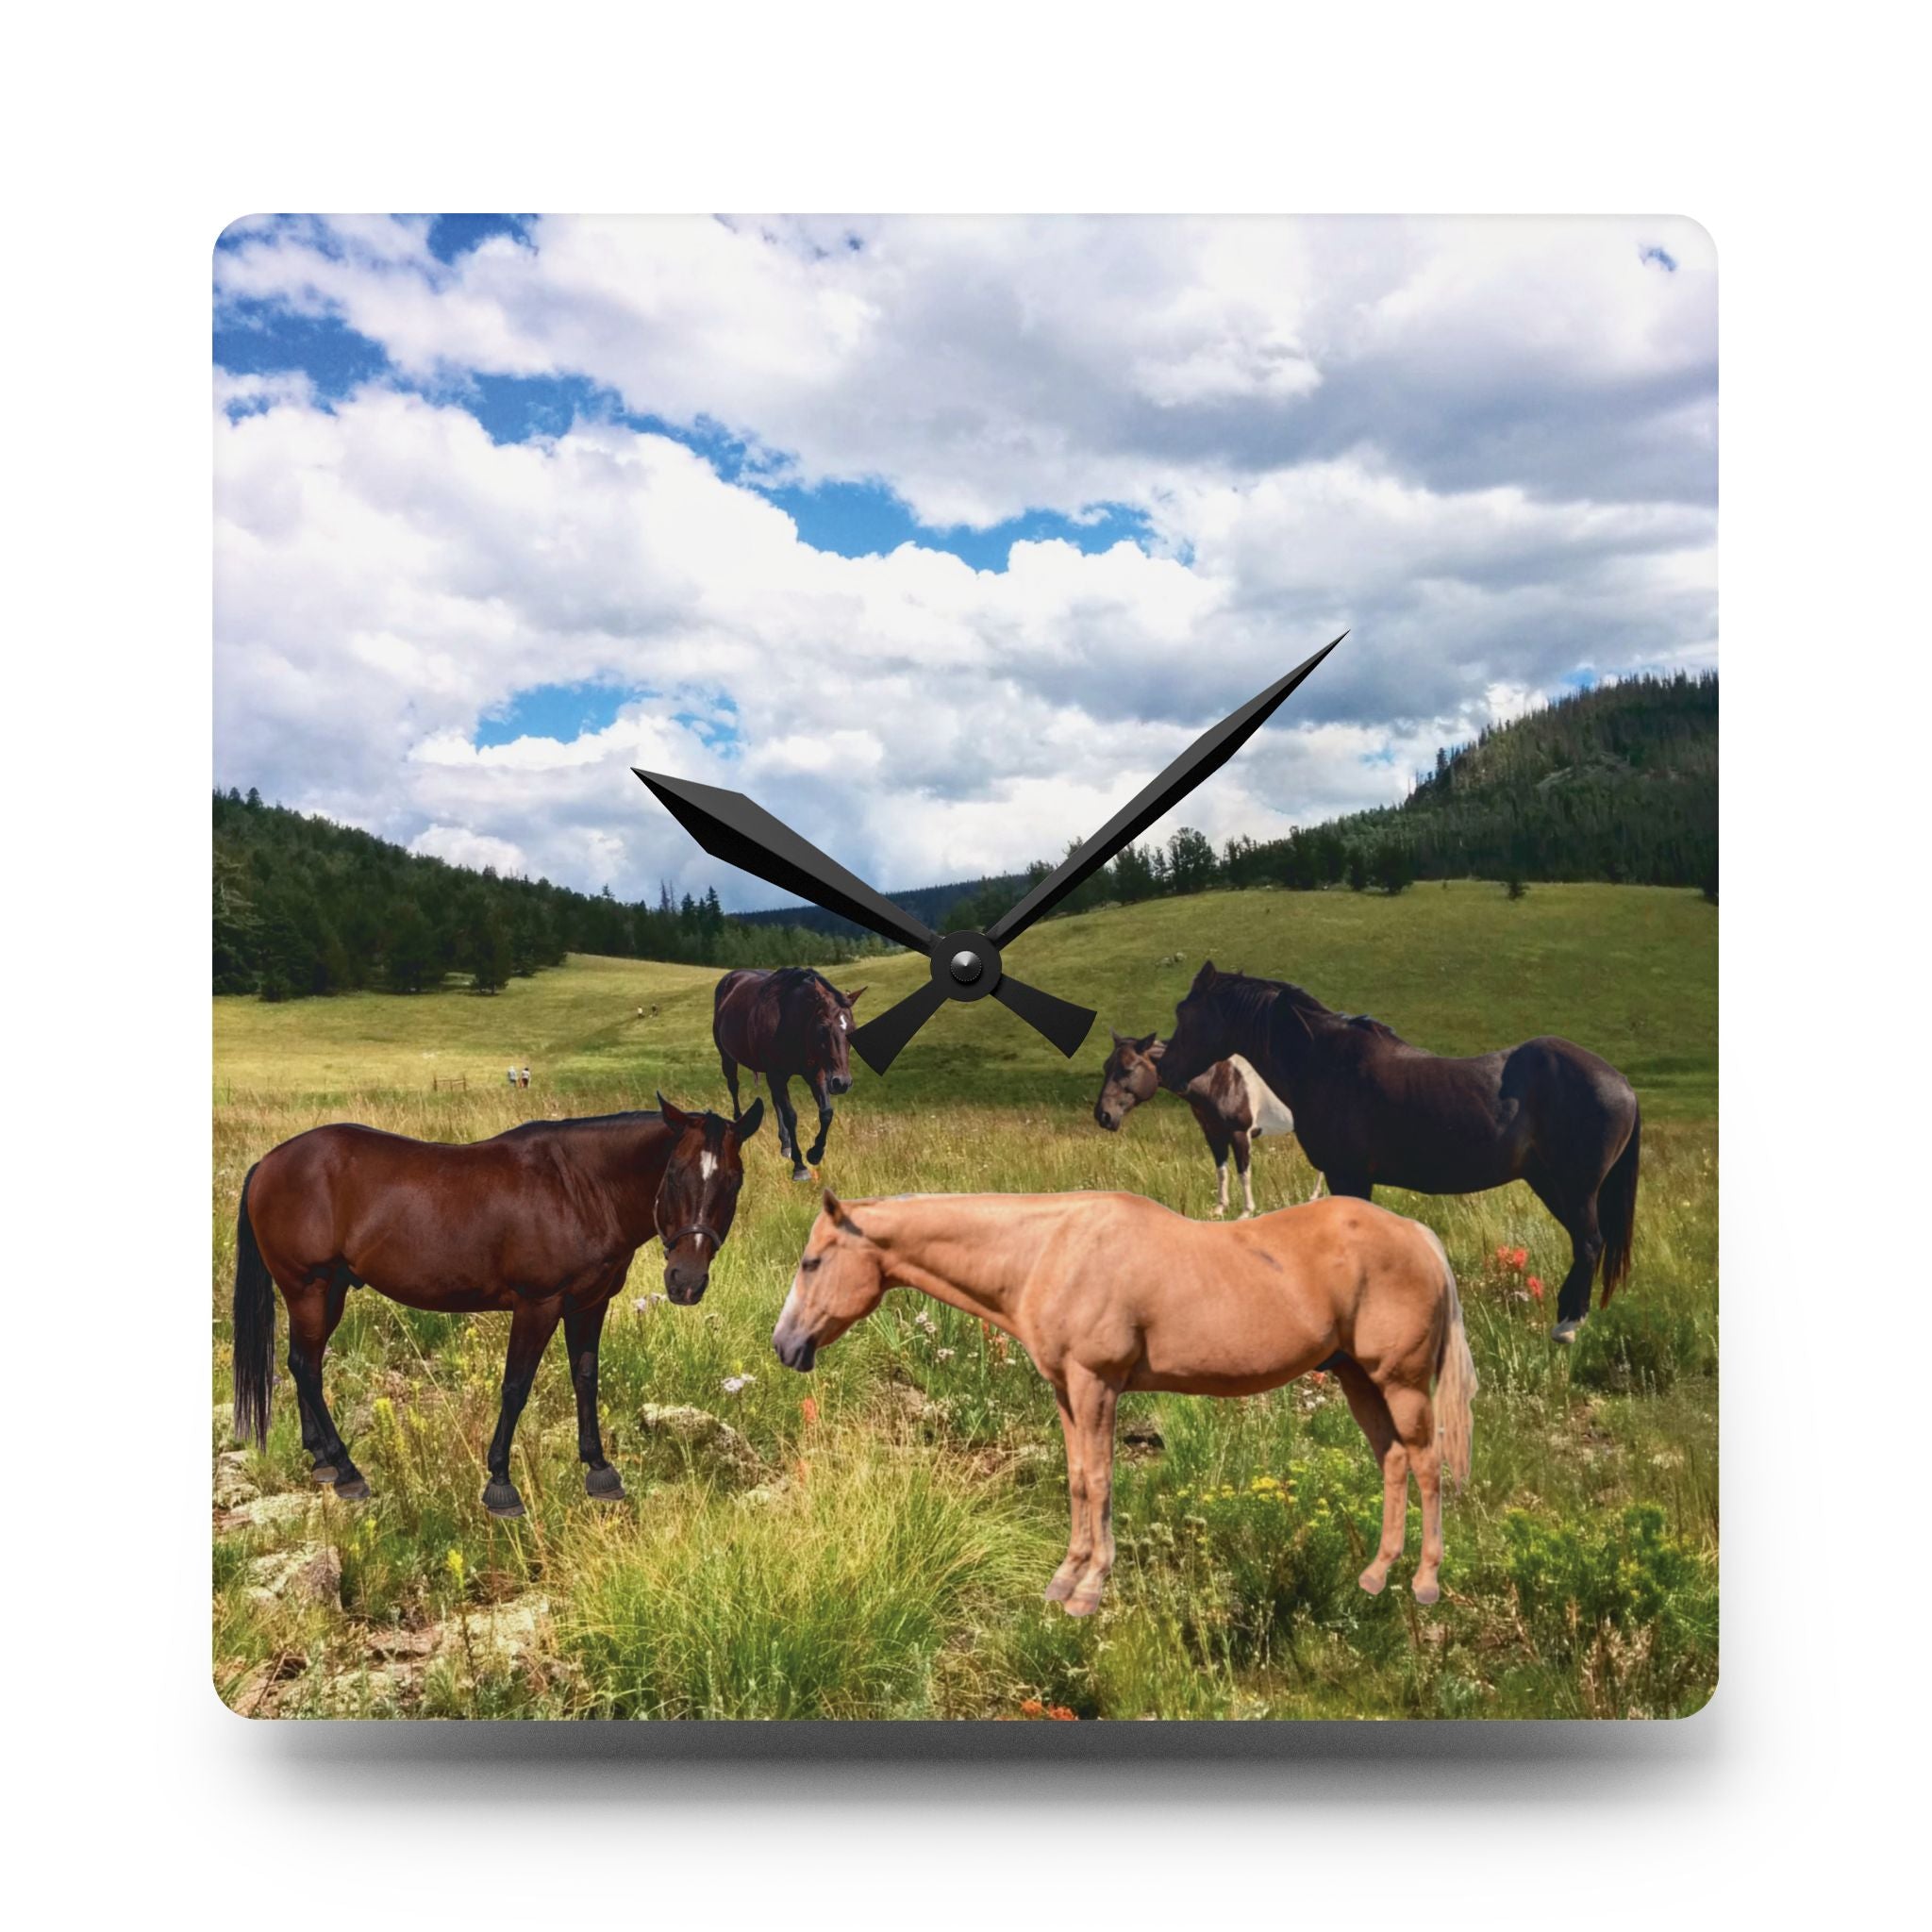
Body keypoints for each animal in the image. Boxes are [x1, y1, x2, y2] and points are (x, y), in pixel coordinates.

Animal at [230, 1095, 764, 1519]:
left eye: (735, 1181)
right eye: (673, 1173)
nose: (686, 1281)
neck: (580, 1187)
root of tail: (267, 1164)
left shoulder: (589, 1305)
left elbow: (585, 1380)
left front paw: (598, 1469)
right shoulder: (538, 1304)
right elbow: (516, 1387)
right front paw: (500, 1484)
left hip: (330, 1290)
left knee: (304, 1364)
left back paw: (322, 1461)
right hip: (308, 1287)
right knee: (306, 1367)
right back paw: (346, 1470)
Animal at [713, 966, 866, 1181]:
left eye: (852, 1028)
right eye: (823, 1027)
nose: (842, 1083)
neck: (792, 1024)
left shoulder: (815, 1074)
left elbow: (826, 1112)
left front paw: (815, 1153)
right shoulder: (777, 1074)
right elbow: (791, 1116)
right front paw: (800, 1166)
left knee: (775, 1099)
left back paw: (785, 1144)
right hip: (728, 1057)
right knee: (734, 1087)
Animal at [773, 1190, 1474, 1613]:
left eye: (812, 1262)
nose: (784, 1344)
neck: (1048, 1252)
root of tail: (1418, 1234)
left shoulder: (1097, 1383)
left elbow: (1104, 1480)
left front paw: (1089, 1590)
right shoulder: (1065, 1389)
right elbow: (1079, 1478)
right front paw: (1065, 1576)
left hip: (1400, 1381)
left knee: (1427, 1465)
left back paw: (1424, 1582)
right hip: (1358, 1379)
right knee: (1393, 1461)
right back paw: (1375, 1575)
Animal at [1093, 1028, 1318, 1219]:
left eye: (1128, 1069)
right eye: (1105, 1066)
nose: (1103, 1115)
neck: (1220, 1080)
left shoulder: (1240, 1133)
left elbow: (1243, 1172)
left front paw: (1246, 1212)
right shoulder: (1212, 1133)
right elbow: (1221, 1170)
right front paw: (1219, 1209)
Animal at [1160, 963, 1640, 1343]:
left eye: (1183, 1012)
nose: (1164, 1070)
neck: (1323, 1064)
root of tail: (1621, 1083)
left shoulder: (1348, 1175)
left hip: (1576, 1187)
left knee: (1589, 1241)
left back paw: (1569, 1325)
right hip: (1549, 1183)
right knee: (1582, 1241)